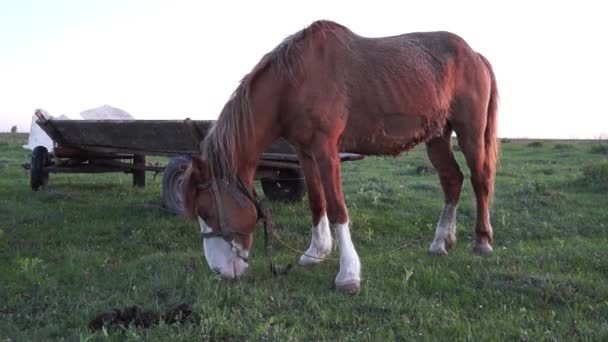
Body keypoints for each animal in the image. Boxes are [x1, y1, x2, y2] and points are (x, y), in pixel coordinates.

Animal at [182, 20, 498, 294]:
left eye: (206, 211)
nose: (221, 271)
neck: (295, 80)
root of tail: (475, 55)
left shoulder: (326, 149)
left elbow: (336, 209)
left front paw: (348, 274)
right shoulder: (304, 152)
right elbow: (316, 202)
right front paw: (316, 252)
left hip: (469, 132)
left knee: (479, 179)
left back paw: (482, 241)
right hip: (438, 136)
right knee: (452, 180)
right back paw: (441, 242)